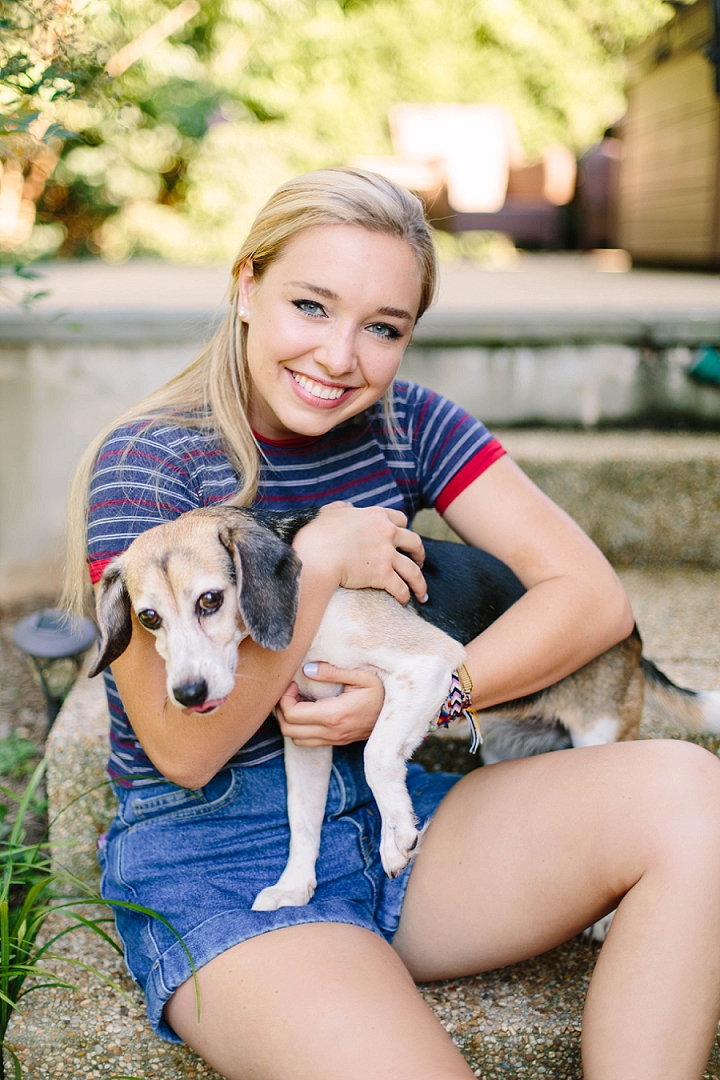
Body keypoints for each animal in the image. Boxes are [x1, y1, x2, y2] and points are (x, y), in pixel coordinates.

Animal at [90, 505, 720, 911]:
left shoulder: (429, 664)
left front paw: (397, 837)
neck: (310, 614)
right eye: (149, 618)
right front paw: (296, 886)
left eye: (210, 600)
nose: (188, 694)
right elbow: (302, 819)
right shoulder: (307, 735)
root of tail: (633, 633)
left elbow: (375, 755)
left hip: (601, 729)